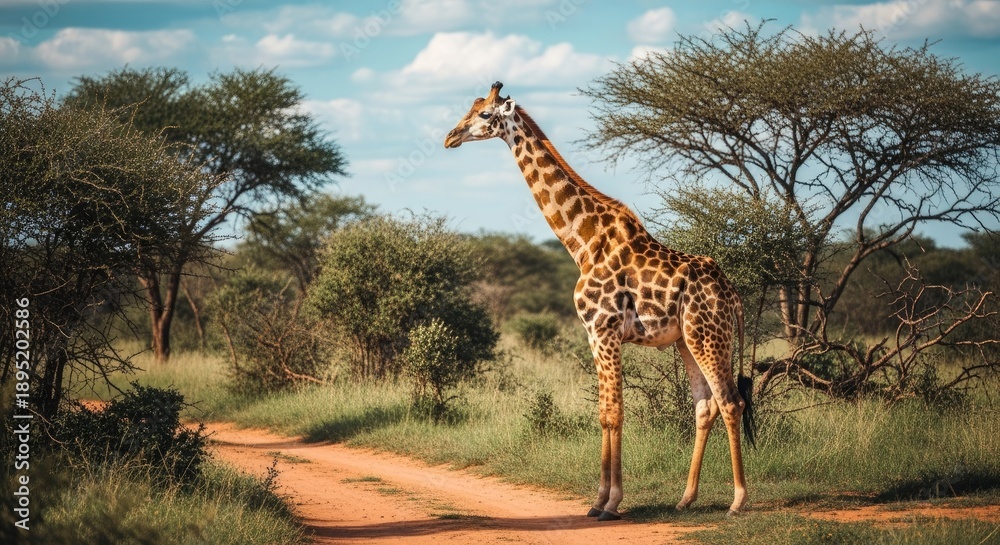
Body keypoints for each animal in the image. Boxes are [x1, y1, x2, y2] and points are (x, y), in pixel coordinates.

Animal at [445, 82, 755, 520]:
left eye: (486, 114)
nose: (450, 137)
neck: (582, 242)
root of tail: (734, 296)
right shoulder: (593, 334)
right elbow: (605, 413)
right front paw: (598, 501)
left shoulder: (604, 330)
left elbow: (614, 412)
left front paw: (611, 503)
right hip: (687, 341)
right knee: (705, 406)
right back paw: (686, 498)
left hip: (708, 336)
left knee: (730, 402)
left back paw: (738, 500)